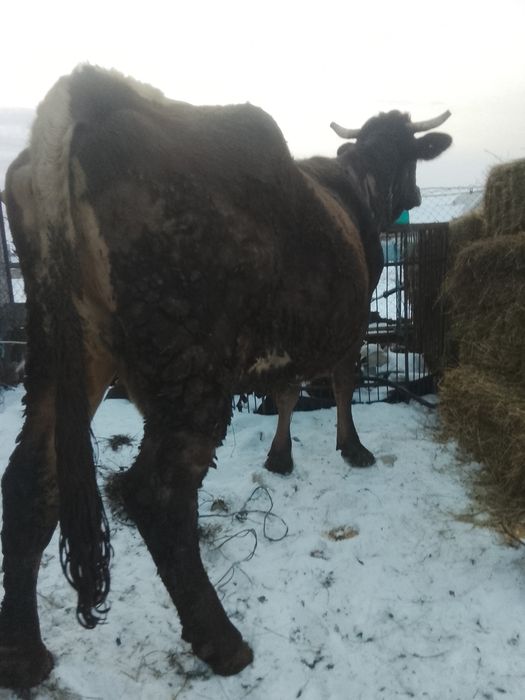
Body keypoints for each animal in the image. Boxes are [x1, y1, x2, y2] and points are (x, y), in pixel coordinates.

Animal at [0, 65, 451, 688]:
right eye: (408, 155)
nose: (411, 197)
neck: (357, 186)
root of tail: (90, 91)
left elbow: (286, 391)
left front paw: (280, 456)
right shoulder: (349, 321)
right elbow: (339, 382)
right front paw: (352, 447)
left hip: (63, 347)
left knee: (28, 479)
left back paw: (23, 653)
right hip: (190, 368)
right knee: (156, 494)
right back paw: (221, 641)